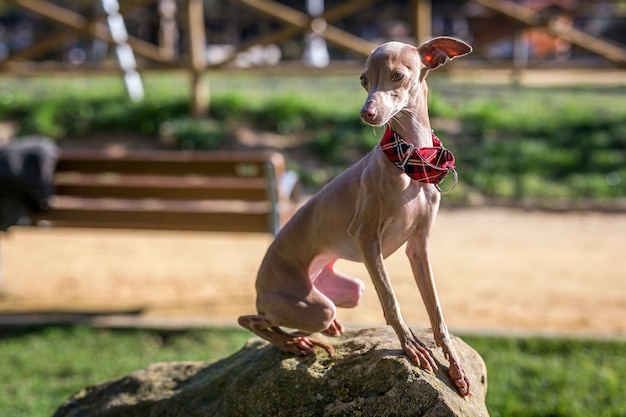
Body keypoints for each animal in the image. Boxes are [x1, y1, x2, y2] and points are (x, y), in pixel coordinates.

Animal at [238, 36, 468, 396]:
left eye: (398, 76)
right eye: (363, 79)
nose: (366, 113)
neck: (410, 159)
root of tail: (261, 284)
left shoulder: (419, 247)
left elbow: (437, 312)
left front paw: (455, 366)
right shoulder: (365, 237)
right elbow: (390, 299)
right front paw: (411, 347)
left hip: (346, 291)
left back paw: (310, 337)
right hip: (310, 305)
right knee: (249, 319)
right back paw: (292, 343)